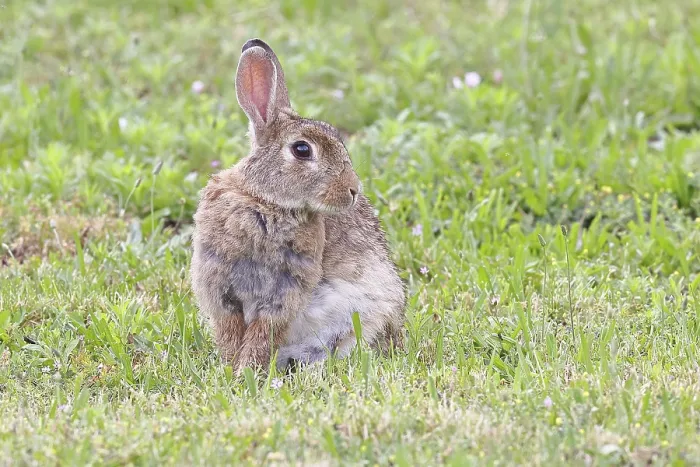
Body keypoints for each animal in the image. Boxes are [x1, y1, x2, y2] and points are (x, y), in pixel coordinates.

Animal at [190, 38, 405, 375]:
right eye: (302, 149)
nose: (353, 190)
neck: (265, 200)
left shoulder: (285, 291)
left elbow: (263, 333)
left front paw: (245, 372)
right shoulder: (218, 286)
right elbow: (231, 332)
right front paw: (232, 370)